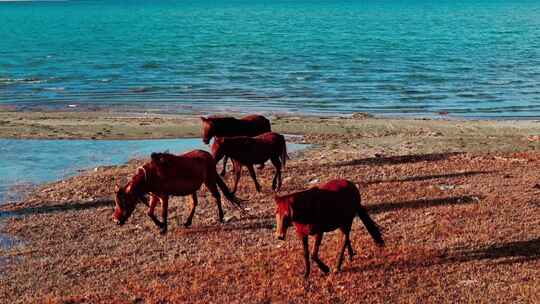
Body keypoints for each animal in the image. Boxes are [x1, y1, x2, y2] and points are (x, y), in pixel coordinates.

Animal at [114, 148, 245, 234]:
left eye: (124, 202)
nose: (116, 221)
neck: (151, 175)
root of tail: (210, 156)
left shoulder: (164, 196)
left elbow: (164, 212)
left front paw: (163, 228)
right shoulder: (154, 196)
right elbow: (150, 213)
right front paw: (160, 225)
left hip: (209, 181)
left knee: (217, 196)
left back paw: (221, 217)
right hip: (194, 188)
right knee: (194, 203)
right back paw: (187, 222)